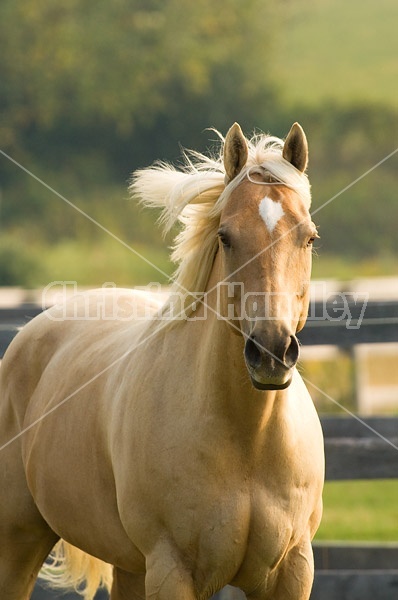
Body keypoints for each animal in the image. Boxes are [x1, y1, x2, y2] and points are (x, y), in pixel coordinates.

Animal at [0, 123, 324, 600]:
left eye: (309, 236)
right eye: (225, 237)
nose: (270, 351)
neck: (248, 440)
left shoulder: (292, 572)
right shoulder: (172, 570)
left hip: (130, 567)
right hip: (18, 540)